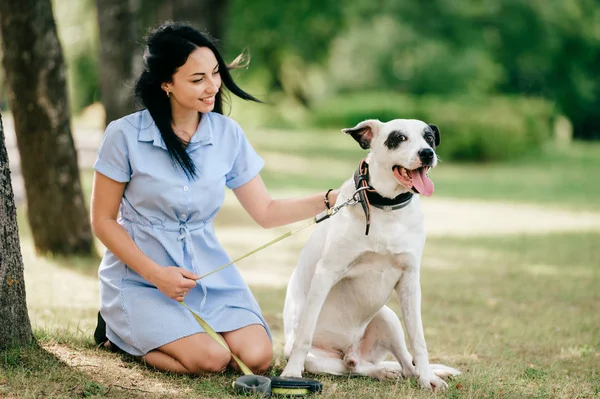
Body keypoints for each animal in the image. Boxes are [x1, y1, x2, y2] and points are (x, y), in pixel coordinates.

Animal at [280, 118, 460, 390]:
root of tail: (352, 350)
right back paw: (376, 370)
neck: (386, 206)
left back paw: (404, 372)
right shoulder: (325, 273)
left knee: (405, 365)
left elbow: (418, 339)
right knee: (352, 368)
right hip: (321, 360)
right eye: (399, 138)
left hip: (389, 318)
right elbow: (305, 334)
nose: (427, 153)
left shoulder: (410, 280)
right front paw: (291, 373)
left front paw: (428, 378)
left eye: (429, 137)